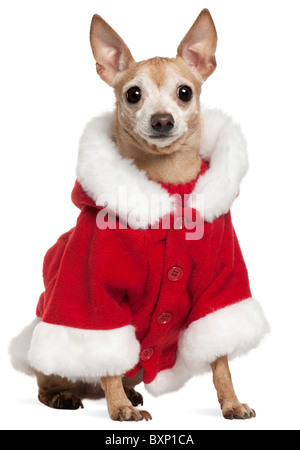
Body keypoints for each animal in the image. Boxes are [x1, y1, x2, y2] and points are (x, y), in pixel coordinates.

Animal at [9, 7, 270, 422]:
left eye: (184, 92)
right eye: (133, 94)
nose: (162, 120)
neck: (169, 183)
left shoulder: (219, 287)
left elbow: (220, 361)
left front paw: (231, 402)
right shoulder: (96, 297)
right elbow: (106, 357)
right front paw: (119, 408)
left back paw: (129, 393)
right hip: (53, 354)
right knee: (54, 381)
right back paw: (70, 396)